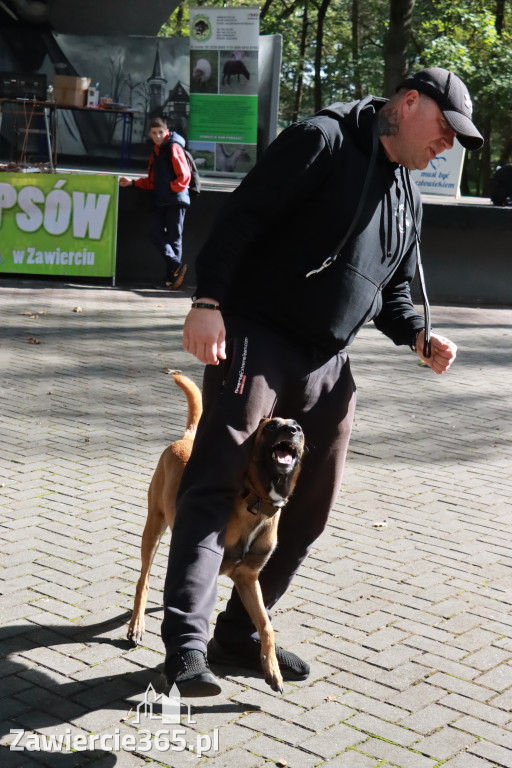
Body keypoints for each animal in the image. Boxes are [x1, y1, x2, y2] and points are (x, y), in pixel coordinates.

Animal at [127, 368, 304, 692]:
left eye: (299, 427)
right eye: (272, 425)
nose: (292, 430)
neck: (257, 501)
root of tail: (188, 438)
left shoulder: (248, 578)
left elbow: (266, 626)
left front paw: (272, 668)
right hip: (153, 528)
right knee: (142, 581)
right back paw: (137, 625)